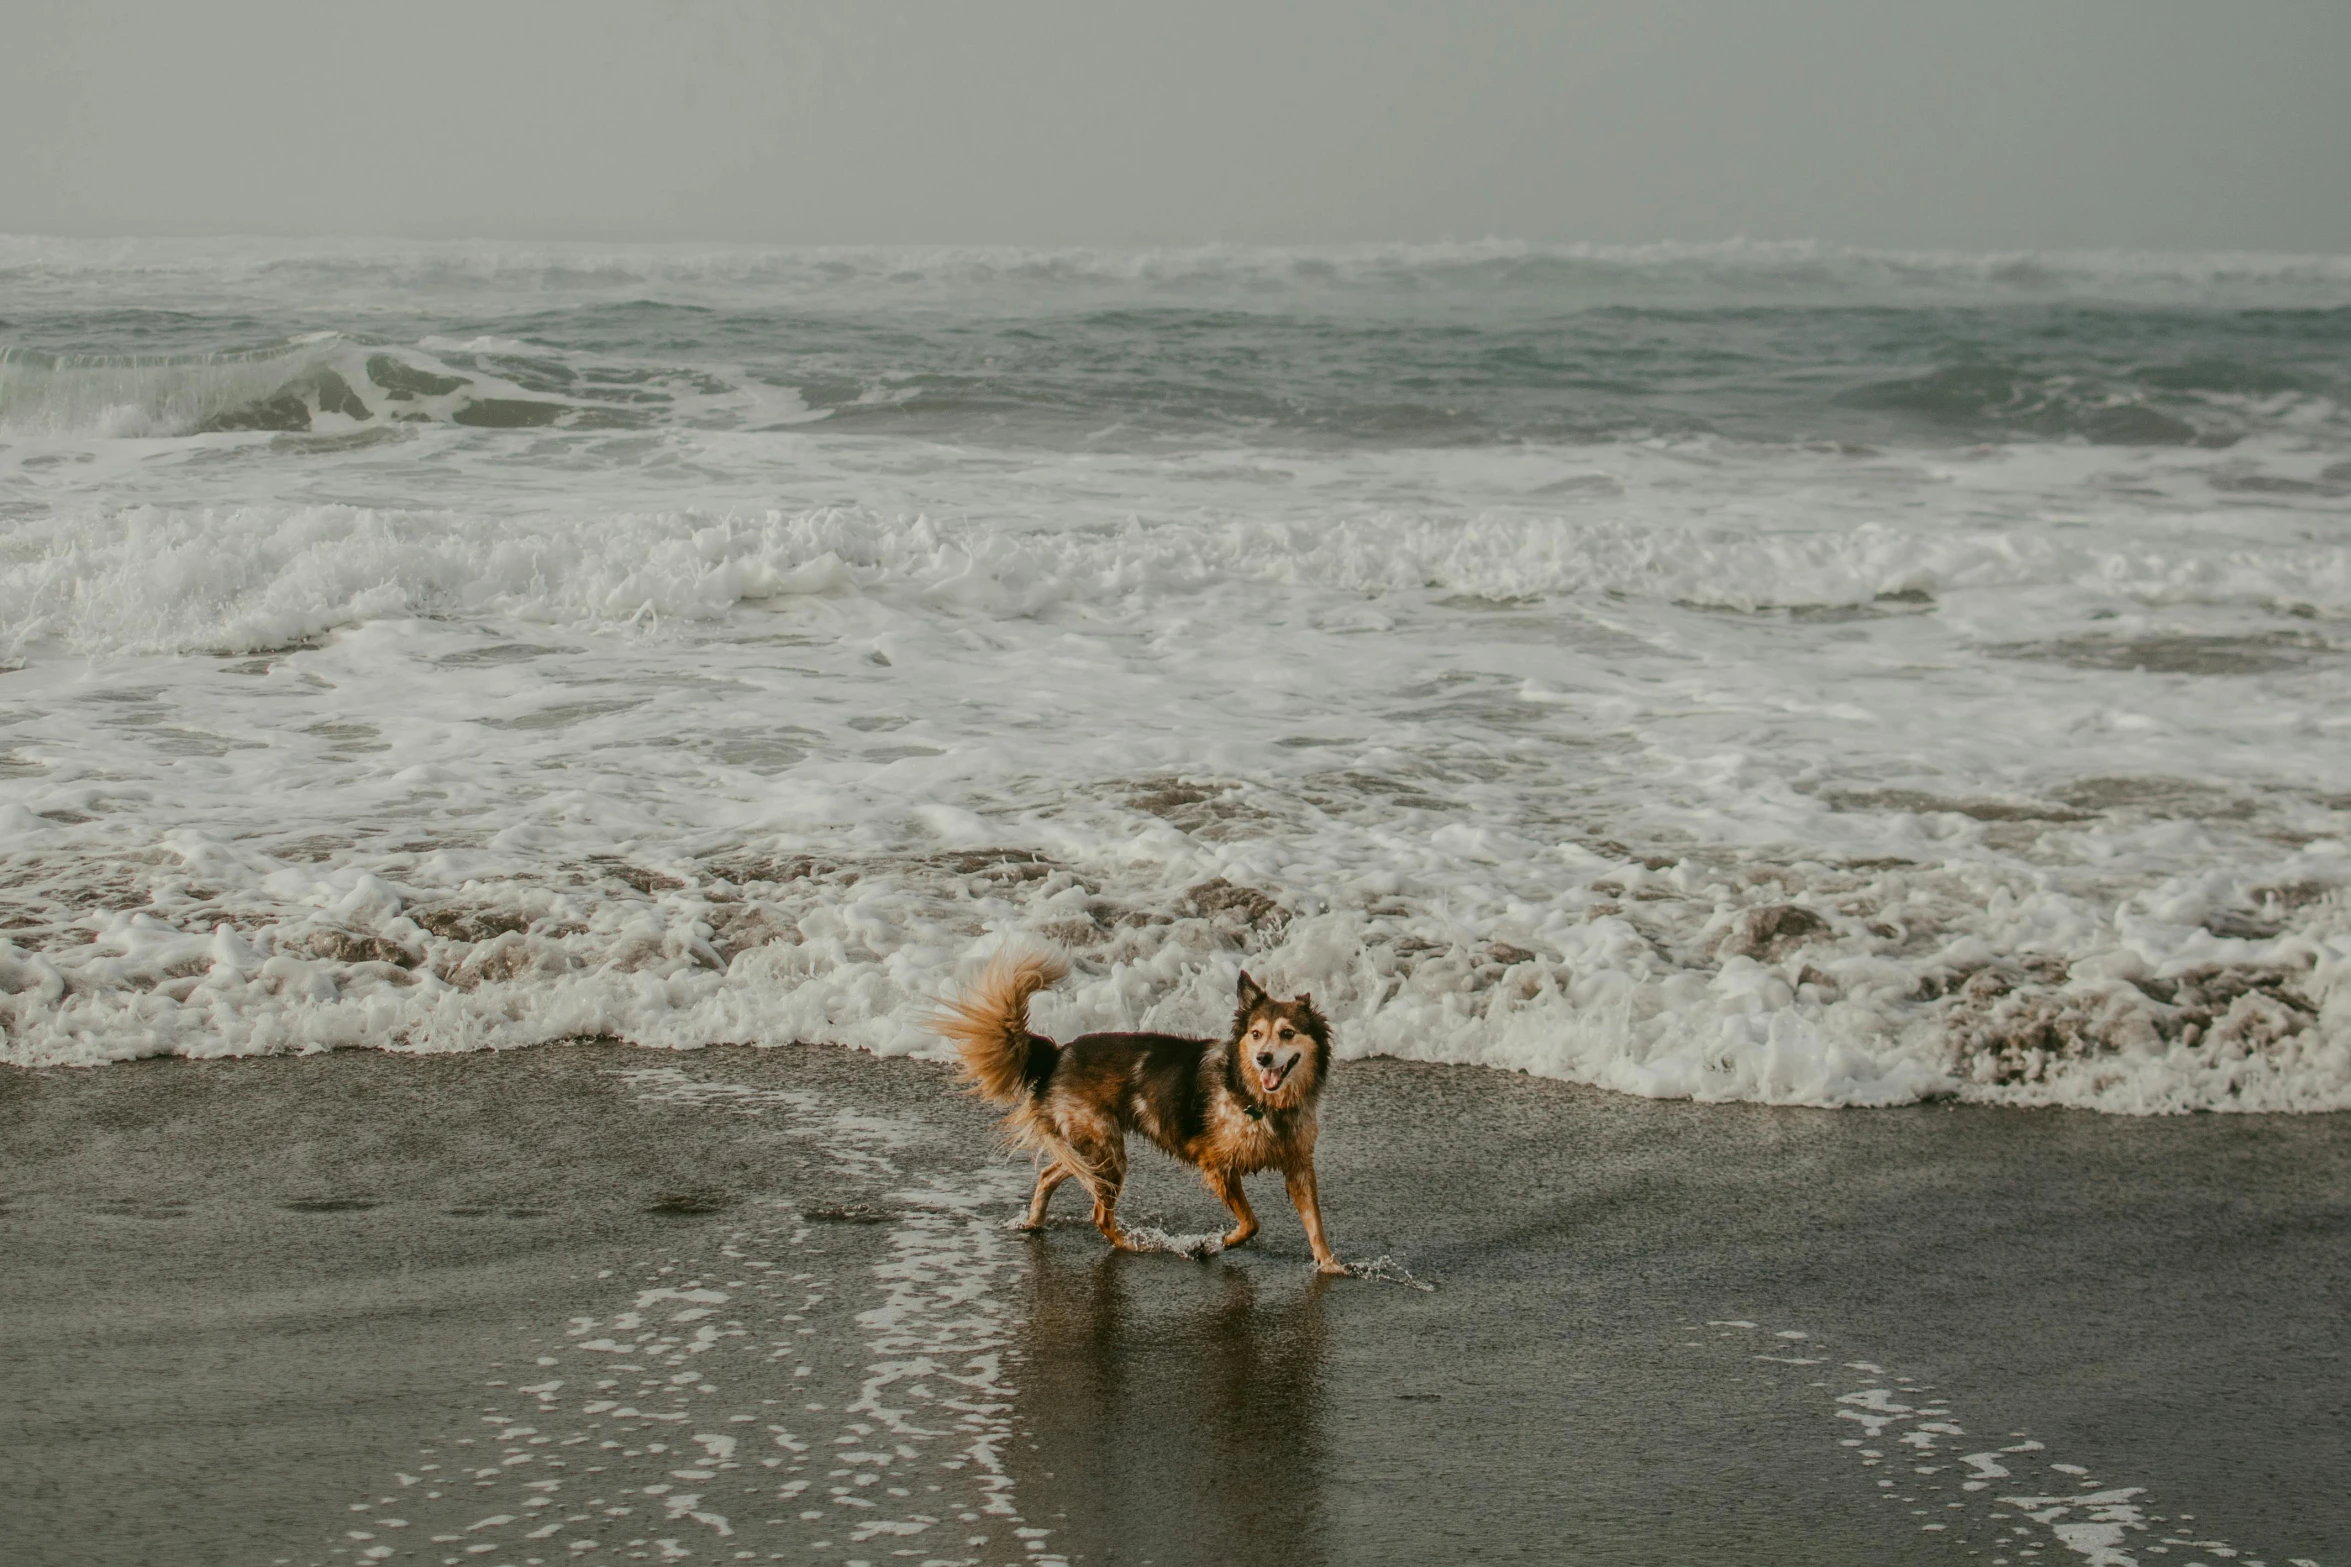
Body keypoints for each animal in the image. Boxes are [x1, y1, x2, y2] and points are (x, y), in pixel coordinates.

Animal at [930, 944, 1344, 1278]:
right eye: (1256, 1034)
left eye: (1287, 1033)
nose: (1263, 1059)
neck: (1262, 1101)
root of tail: (1058, 1055)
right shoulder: (1218, 1165)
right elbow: (1251, 1223)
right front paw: (1215, 1243)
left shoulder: (1298, 1164)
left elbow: (1315, 1223)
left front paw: (1330, 1265)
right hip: (1105, 1149)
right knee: (1099, 1214)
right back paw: (1133, 1244)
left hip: (1089, 1148)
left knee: (1050, 1174)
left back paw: (1034, 1222)